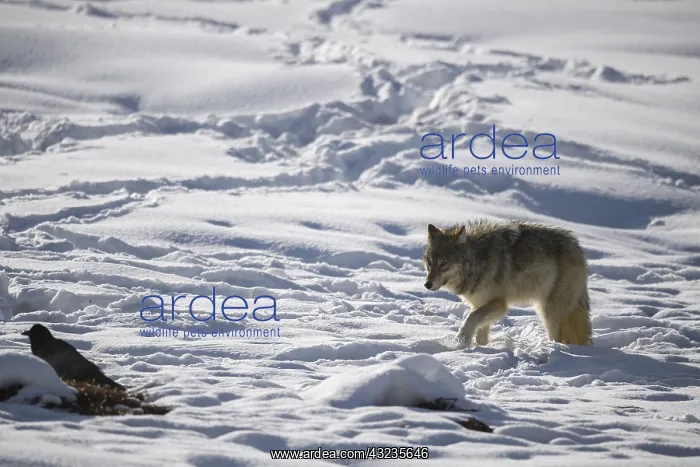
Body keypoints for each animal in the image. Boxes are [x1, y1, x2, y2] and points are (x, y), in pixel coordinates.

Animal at [423, 219, 592, 347]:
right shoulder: (479, 304)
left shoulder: (500, 304)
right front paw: (481, 348)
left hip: (550, 310)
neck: (478, 261)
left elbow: (470, 318)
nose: (427, 284)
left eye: (443, 263)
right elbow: (480, 331)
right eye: (430, 263)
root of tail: (577, 246)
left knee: (557, 336)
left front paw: (460, 341)